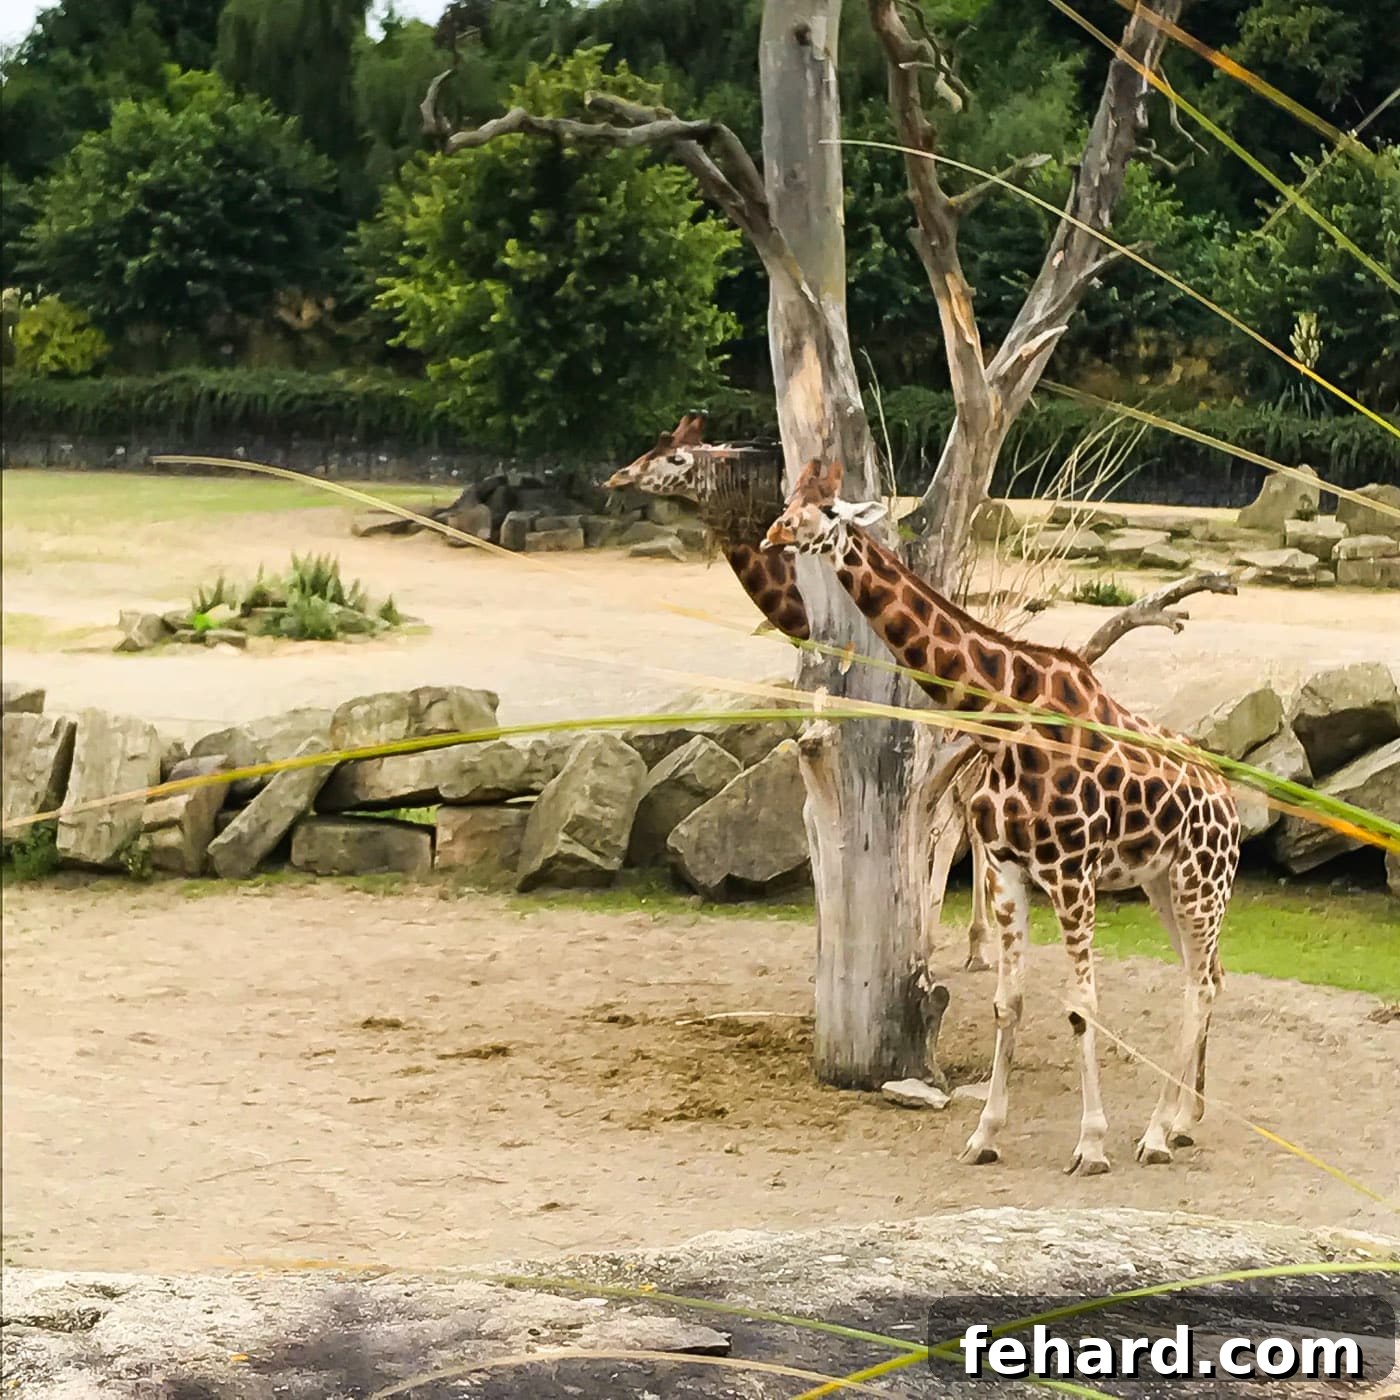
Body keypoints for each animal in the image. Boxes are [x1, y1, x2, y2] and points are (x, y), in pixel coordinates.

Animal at [764, 459, 1240, 1174]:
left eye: (828, 511)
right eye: (789, 500)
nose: (773, 534)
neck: (1002, 719)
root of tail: (1232, 804)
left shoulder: (1072, 876)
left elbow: (1081, 1007)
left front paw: (1091, 1144)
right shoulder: (1009, 870)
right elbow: (1006, 1002)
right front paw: (984, 1134)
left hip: (1200, 883)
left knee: (1201, 986)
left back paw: (1155, 1133)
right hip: (1163, 883)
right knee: (1202, 975)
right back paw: (1183, 1122)